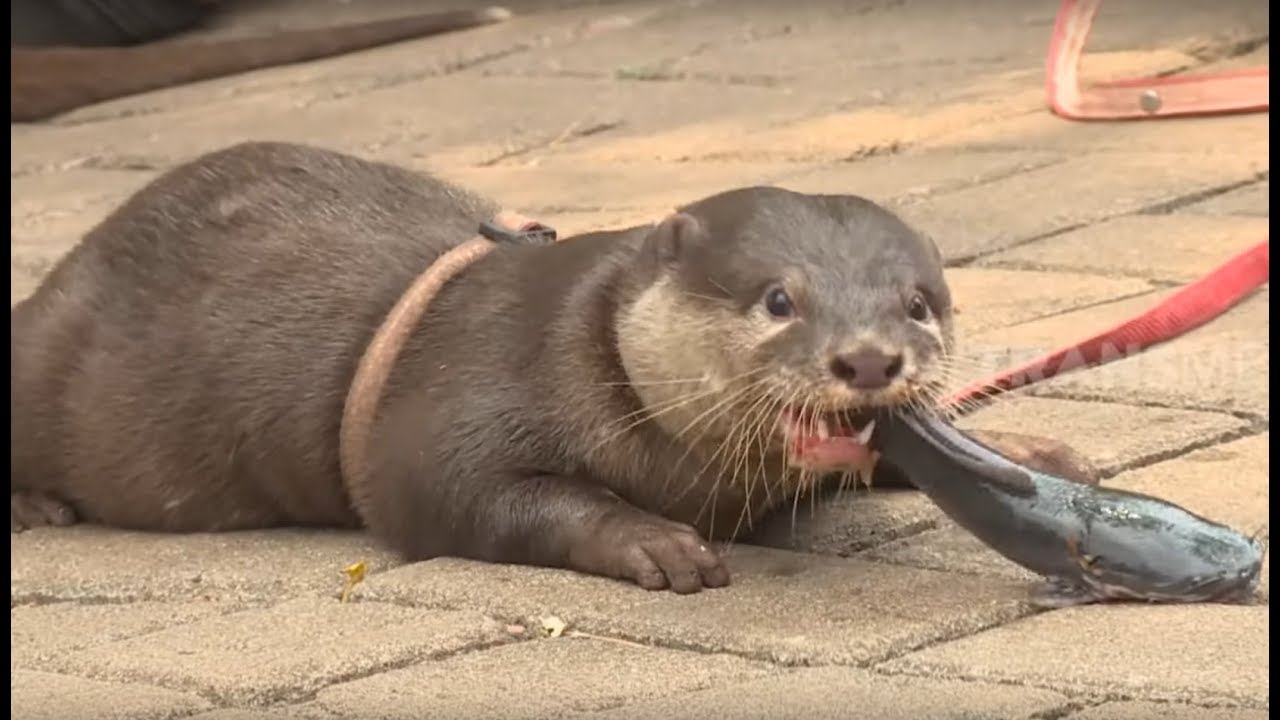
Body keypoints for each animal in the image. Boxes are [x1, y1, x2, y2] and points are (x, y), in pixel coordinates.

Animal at [10, 141, 1096, 593]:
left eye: (915, 302)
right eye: (778, 299)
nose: (867, 358)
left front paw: (1034, 449)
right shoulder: (454, 406)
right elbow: (478, 497)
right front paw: (652, 543)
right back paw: (36, 506)